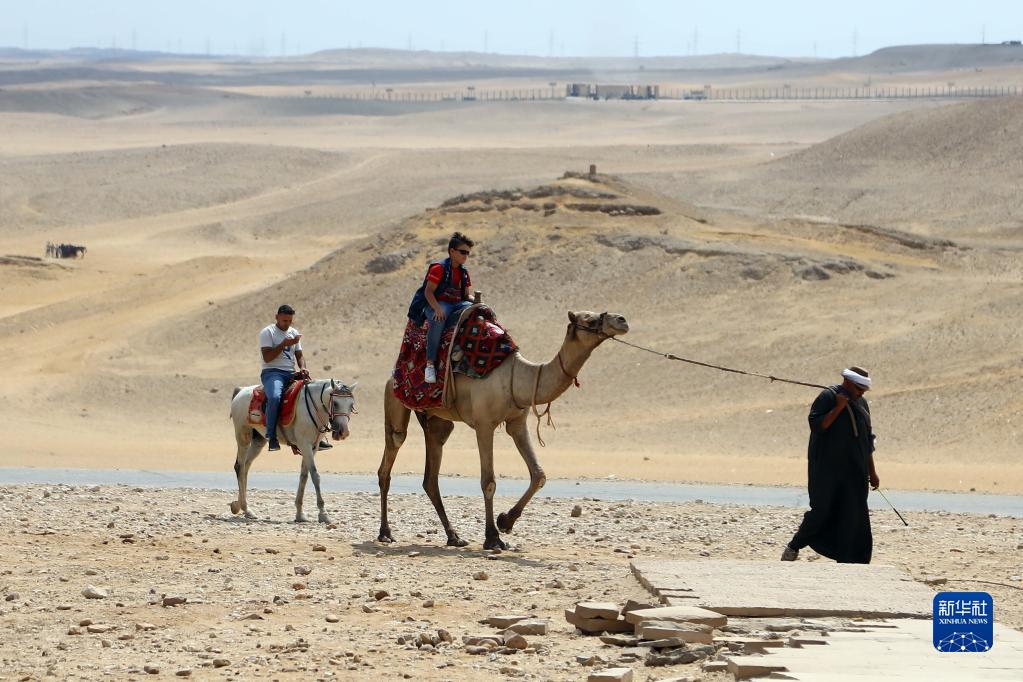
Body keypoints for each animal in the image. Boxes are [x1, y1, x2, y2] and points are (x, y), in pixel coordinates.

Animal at [230, 378, 358, 523]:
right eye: (335, 403)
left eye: (351, 404)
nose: (343, 432)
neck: (314, 408)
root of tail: (241, 391)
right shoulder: (305, 444)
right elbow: (315, 476)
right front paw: (323, 514)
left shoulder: (313, 447)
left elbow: (304, 476)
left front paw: (300, 514)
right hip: (243, 436)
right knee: (240, 467)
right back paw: (245, 508)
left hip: (258, 440)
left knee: (246, 467)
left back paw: (241, 507)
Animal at [380, 312, 626, 552]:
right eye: (591, 320)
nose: (622, 320)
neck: (518, 378)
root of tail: (392, 374)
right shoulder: (484, 424)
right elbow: (489, 482)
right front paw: (493, 538)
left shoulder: (517, 422)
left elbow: (539, 475)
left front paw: (506, 521)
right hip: (395, 399)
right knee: (392, 453)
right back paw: (385, 533)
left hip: (437, 420)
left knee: (431, 474)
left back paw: (454, 537)